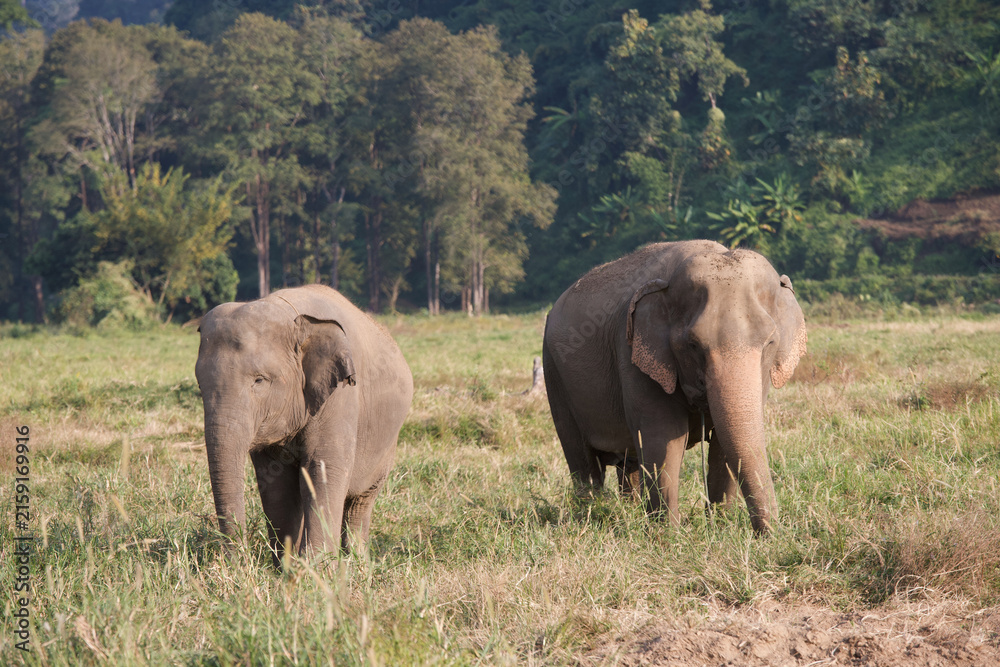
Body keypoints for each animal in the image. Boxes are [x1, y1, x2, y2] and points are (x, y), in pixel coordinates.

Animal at [195, 284, 413, 562]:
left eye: (259, 380)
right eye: (200, 385)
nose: (237, 561)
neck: (291, 315)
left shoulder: (340, 396)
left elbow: (323, 470)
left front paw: (316, 566)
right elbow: (277, 485)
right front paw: (288, 565)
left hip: (386, 446)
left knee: (360, 503)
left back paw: (357, 562)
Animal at [542, 240, 806, 534]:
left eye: (770, 342)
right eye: (693, 344)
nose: (770, 535)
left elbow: (723, 444)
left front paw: (720, 526)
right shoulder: (632, 354)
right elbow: (663, 436)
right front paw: (668, 534)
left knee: (628, 462)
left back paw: (627, 511)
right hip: (553, 372)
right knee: (582, 461)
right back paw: (590, 515)